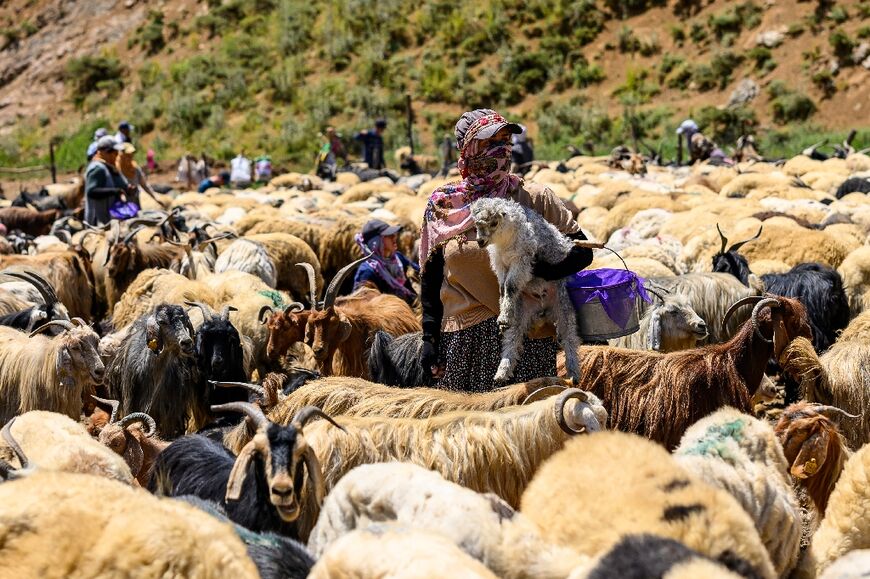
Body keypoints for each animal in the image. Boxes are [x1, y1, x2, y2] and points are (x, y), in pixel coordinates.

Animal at [470, 197, 581, 383]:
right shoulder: (499, 263)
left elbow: (511, 286)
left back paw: (574, 373)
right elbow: (503, 288)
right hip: (522, 310)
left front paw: (503, 313)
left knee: (569, 337)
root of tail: (543, 309)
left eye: (494, 223)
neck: (504, 244)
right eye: (476, 224)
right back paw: (502, 372)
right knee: (512, 338)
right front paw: (503, 314)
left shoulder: (522, 259)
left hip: (563, 306)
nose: (480, 242)